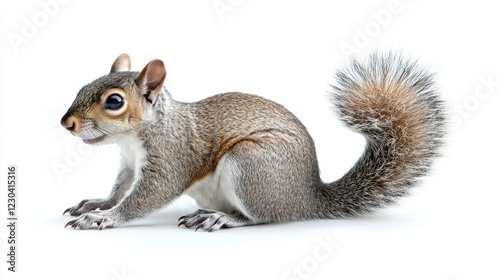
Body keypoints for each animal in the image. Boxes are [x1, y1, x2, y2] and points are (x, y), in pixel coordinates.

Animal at [61, 52, 446, 230]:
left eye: (114, 102)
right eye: (83, 86)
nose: (67, 123)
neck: (135, 137)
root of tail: (307, 198)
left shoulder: (171, 157)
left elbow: (147, 196)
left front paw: (105, 219)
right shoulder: (129, 163)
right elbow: (120, 188)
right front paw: (97, 204)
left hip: (251, 165)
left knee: (262, 217)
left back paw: (222, 219)